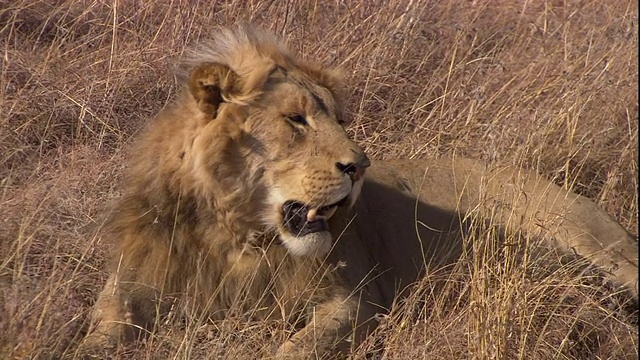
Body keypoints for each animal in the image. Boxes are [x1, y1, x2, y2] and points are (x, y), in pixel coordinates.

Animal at [82, 24, 636, 358]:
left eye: (340, 119)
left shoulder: (354, 300)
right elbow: (100, 333)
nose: (360, 166)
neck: (233, 234)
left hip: (594, 244)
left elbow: (295, 348)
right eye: (296, 120)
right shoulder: (127, 284)